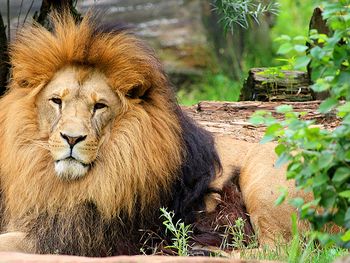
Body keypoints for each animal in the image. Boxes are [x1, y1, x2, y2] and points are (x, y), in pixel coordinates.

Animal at [0, 11, 312, 256]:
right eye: (57, 101)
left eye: (99, 106)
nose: (72, 138)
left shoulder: (77, 238)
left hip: (263, 180)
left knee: (278, 250)